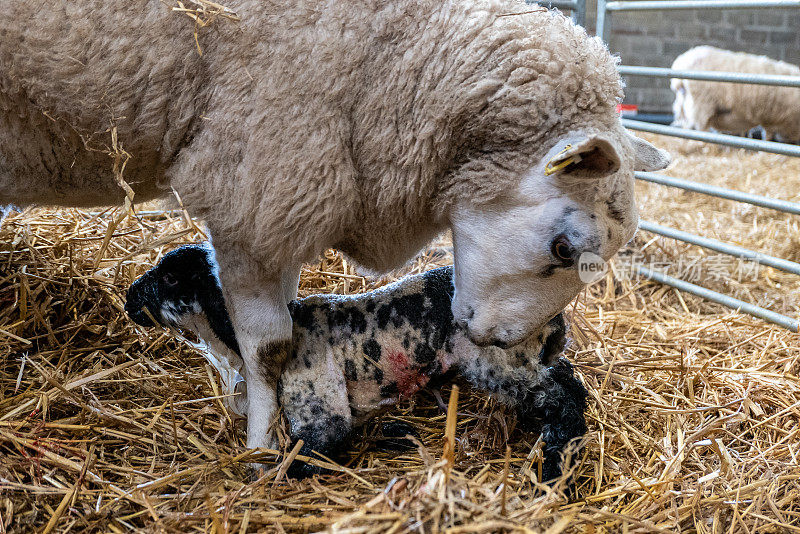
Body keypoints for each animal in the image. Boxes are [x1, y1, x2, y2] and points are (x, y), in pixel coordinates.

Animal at [0, 0, 672, 454]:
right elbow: (270, 343)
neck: (399, 57)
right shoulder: (254, 184)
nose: (511, 341)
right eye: (563, 245)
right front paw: (259, 443)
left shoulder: (280, 203)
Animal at [125, 245, 588, 484]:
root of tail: (555, 318)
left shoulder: (319, 408)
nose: (129, 299)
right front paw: (395, 433)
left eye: (171, 277)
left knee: (564, 392)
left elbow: (306, 454)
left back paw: (554, 465)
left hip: (499, 360)